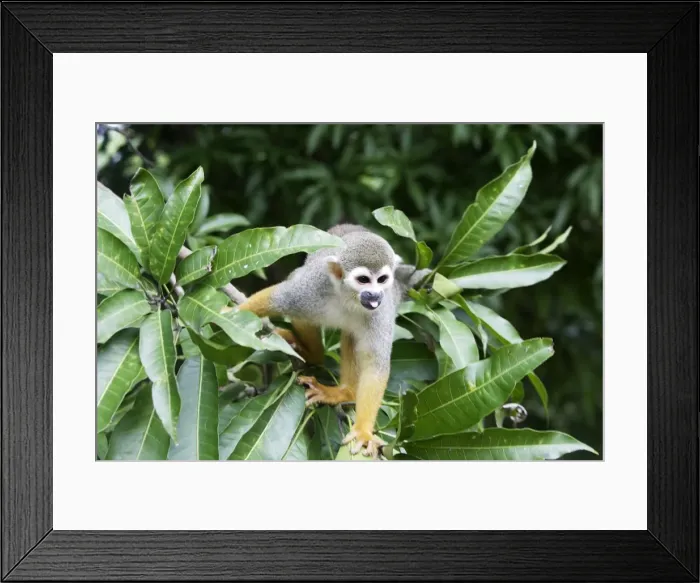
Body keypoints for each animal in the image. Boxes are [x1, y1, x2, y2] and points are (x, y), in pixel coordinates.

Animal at [237, 224, 430, 458]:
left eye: (382, 279)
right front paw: (224, 316)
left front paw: (363, 431)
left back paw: (344, 392)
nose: (374, 295)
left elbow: (375, 364)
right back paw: (312, 355)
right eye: (363, 280)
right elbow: (280, 299)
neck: (350, 298)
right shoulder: (314, 285)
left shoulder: (381, 310)